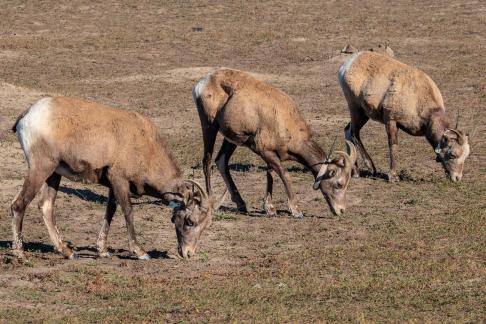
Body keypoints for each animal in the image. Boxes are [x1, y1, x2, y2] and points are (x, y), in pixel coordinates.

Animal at [10, 97, 224, 260]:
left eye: (206, 225)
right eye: (190, 221)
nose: (188, 253)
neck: (143, 143)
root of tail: (28, 115)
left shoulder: (113, 185)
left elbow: (110, 211)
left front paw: (103, 251)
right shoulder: (119, 180)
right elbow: (127, 211)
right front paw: (141, 252)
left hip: (53, 174)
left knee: (46, 206)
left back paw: (68, 253)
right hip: (41, 169)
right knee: (19, 204)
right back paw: (20, 254)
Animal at [194, 67, 356, 216]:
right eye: (339, 184)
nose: (341, 210)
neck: (284, 120)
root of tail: (203, 83)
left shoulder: (271, 154)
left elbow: (270, 174)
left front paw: (270, 209)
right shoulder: (263, 150)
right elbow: (284, 174)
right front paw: (296, 210)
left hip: (232, 138)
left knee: (221, 161)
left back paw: (241, 204)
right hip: (209, 126)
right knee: (207, 161)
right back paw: (210, 204)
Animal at [338, 51, 470, 182]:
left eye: (466, 155)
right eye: (453, 154)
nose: (457, 178)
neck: (417, 98)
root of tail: (347, 65)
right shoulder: (391, 120)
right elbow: (393, 144)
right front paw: (393, 176)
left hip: (363, 115)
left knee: (348, 131)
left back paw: (355, 172)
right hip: (356, 109)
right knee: (353, 133)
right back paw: (370, 168)